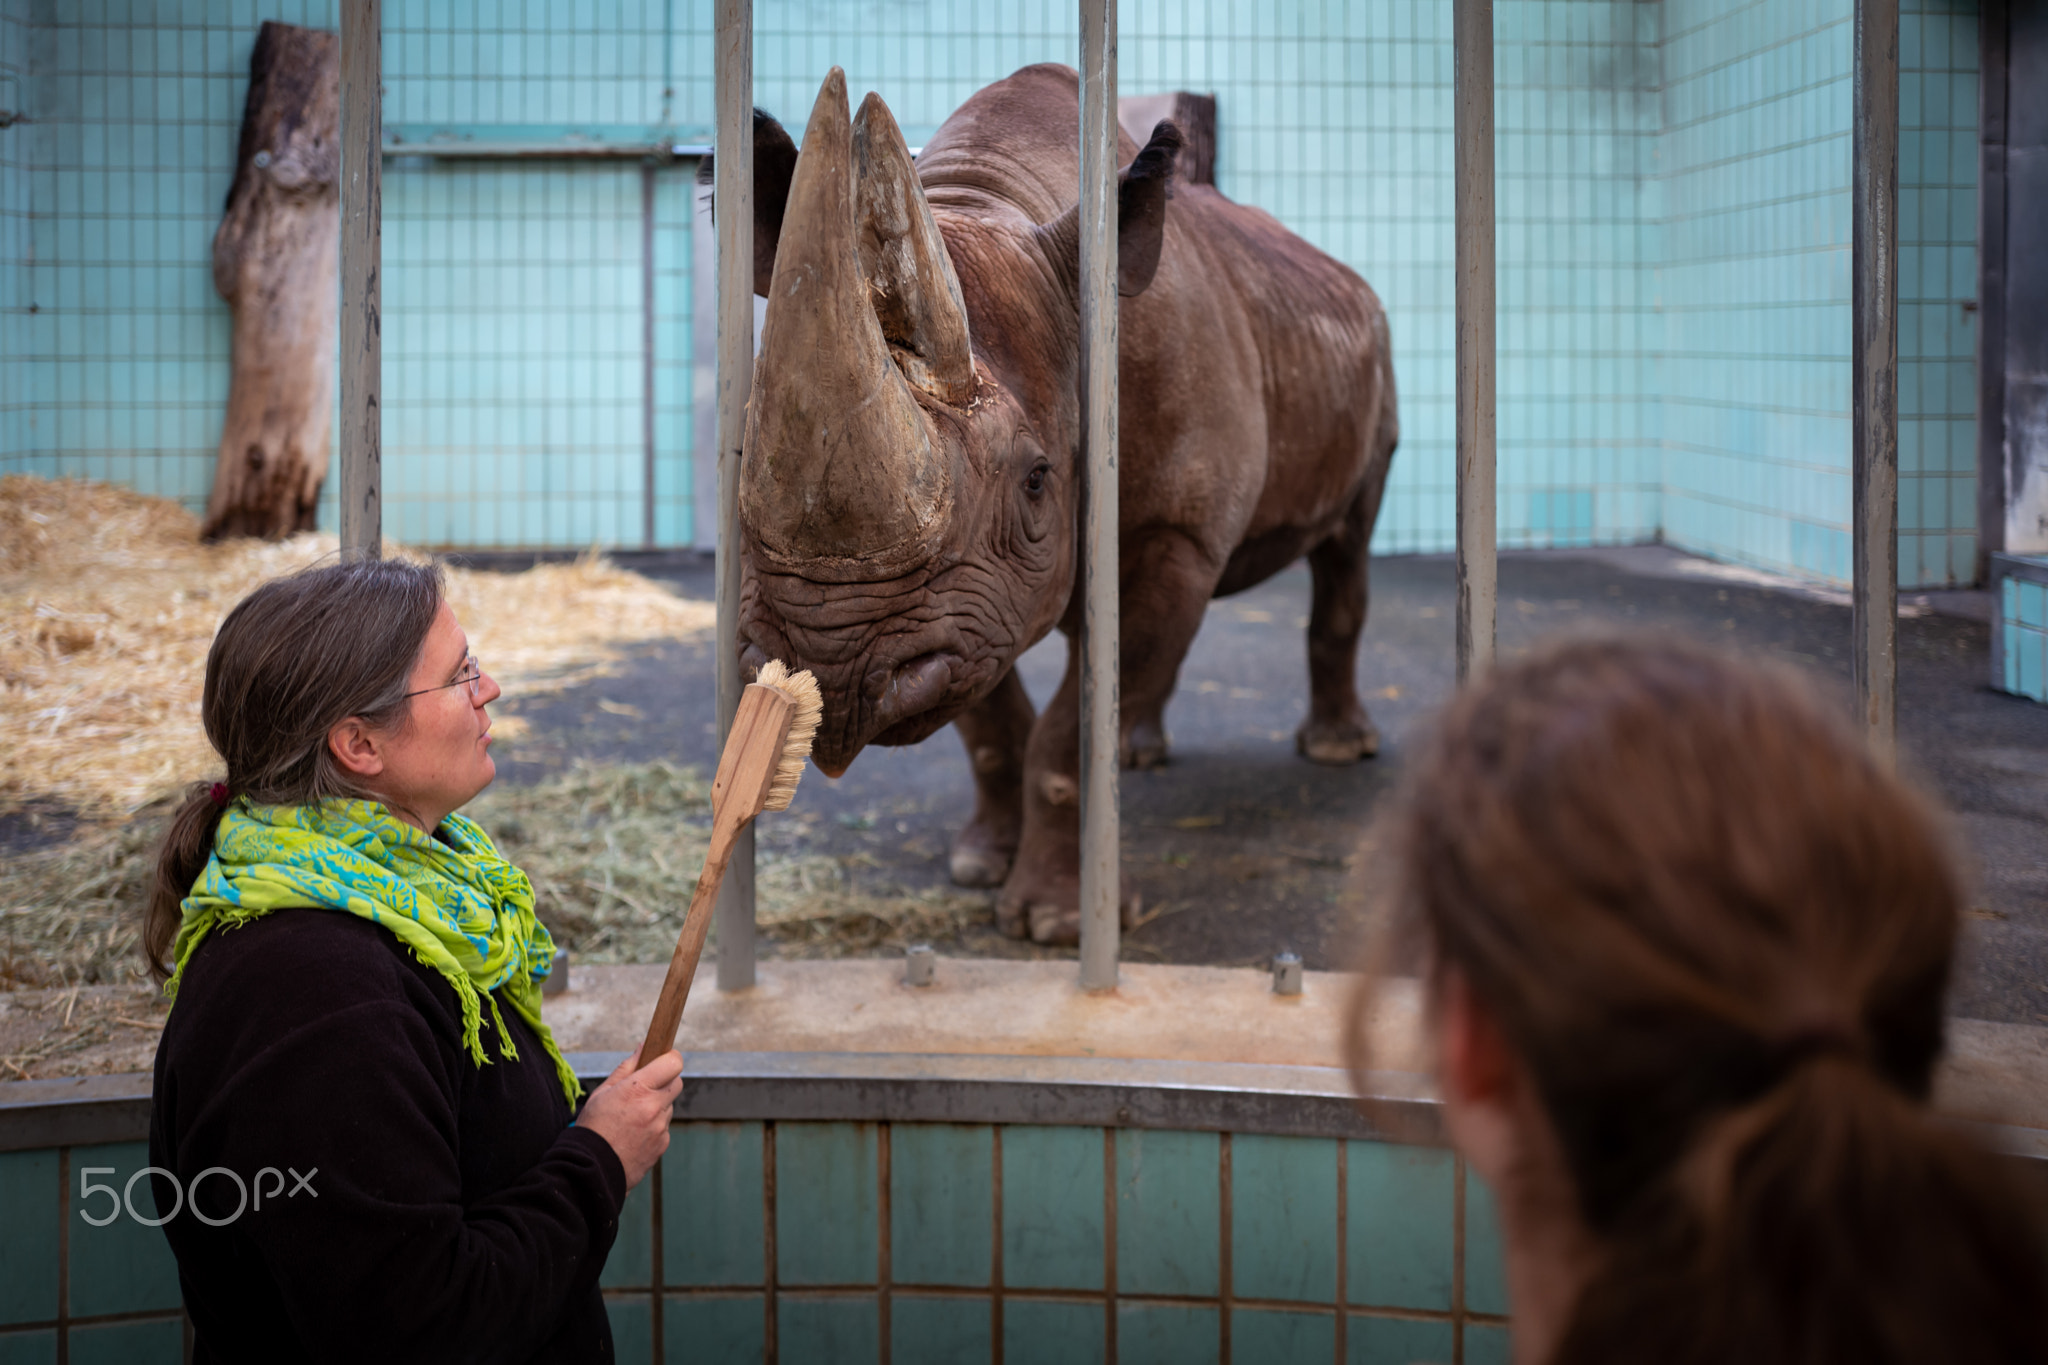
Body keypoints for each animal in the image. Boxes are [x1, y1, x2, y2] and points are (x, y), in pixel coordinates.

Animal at [734, 64, 1398, 944]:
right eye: (741, 460)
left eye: (1037, 479)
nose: (834, 671)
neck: (990, 201)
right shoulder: (961, 603)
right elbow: (990, 718)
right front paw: (981, 864)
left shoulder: (1169, 534)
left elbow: (1073, 732)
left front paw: (1056, 924)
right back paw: (1146, 754)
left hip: (1373, 345)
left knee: (1349, 538)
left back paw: (1335, 750)